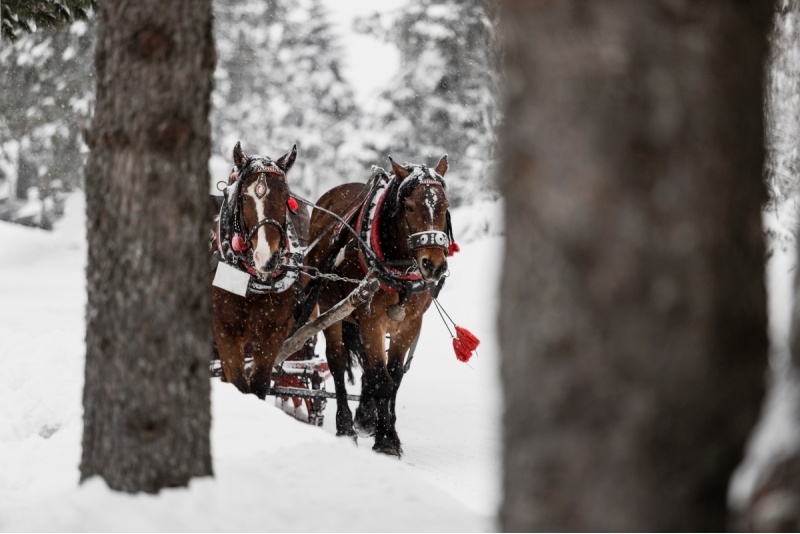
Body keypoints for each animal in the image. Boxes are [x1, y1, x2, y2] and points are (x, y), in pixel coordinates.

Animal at [209, 142, 306, 402]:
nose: (267, 257)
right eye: (244, 196)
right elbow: (240, 385)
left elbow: (259, 384)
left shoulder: (274, 333)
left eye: (286, 196)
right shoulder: (225, 331)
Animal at [306, 154, 454, 456]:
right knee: (337, 361)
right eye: (408, 207)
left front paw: (385, 429)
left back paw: (365, 415)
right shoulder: (371, 321)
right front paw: (385, 440)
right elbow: (381, 379)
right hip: (331, 308)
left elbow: (393, 377)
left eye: (445, 206)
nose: (433, 265)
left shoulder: (409, 324)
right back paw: (346, 426)